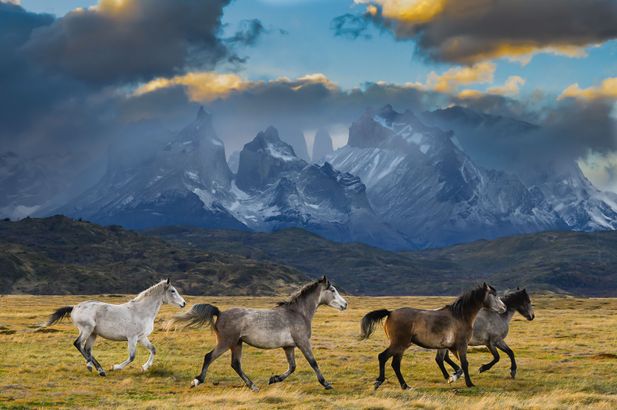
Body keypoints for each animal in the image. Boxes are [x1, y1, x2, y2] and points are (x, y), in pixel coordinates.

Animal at [44, 278, 185, 374]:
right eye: (173, 291)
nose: (183, 303)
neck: (140, 311)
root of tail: (74, 307)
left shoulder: (141, 337)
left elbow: (153, 349)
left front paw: (144, 367)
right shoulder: (132, 338)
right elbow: (132, 357)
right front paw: (116, 367)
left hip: (93, 333)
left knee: (87, 349)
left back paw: (100, 370)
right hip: (87, 329)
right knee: (78, 344)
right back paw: (90, 366)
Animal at [360, 284, 506, 390]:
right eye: (494, 295)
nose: (504, 308)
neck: (460, 316)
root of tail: (390, 313)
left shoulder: (452, 347)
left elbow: (457, 365)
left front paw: (452, 377)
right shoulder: (462, 345)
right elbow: (464, 363)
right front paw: (469, 384)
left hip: (402, 346)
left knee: (395, 364)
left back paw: (405, 386)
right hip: (399, 344)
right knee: (383, 357)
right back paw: (379, 382)